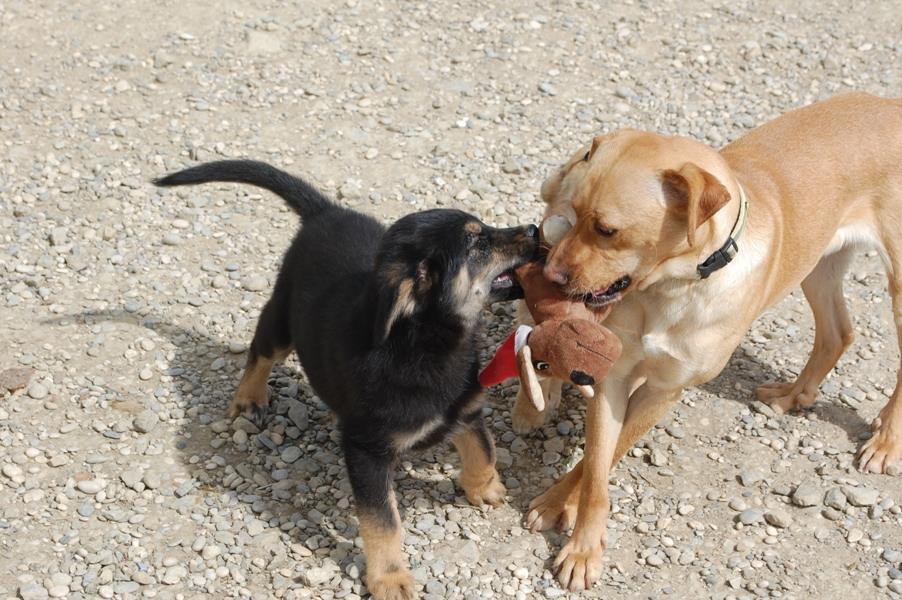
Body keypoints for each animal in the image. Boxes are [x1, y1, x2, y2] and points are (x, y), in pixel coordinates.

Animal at [154, 160, 538, 600]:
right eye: (477, 244)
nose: (534, 229)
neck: (423, 342)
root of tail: (326, 211)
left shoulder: (466, 413)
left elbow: (483, 452)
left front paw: (485, 488)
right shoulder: (366, 450)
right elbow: (383, 522)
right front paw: (389, 578)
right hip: (282, 319)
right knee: (260, 352)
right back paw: (249, 397)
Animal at [509, 92, 902, 590]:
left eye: (607, 230)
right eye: (572, 215)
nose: (551, 276)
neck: (676, 287)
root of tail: (889, 102)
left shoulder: (664, 389)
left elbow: (608, 455)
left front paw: (571, 524)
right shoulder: (613, 376)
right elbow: (596, 468)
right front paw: (571, 524)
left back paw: (886, 442)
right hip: (817, 263)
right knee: (838, 332)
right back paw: (793, 394)